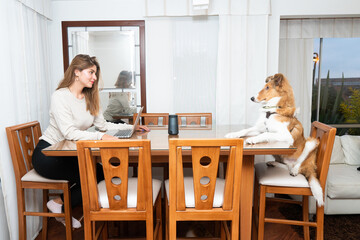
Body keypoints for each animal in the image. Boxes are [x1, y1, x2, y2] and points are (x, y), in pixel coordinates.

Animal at [225, 73, 324, 206]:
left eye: (267, 87)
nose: (251, 98)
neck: (270, 112)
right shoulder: (259, 128)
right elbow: (245, 130)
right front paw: (232, 134)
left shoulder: (285, 135)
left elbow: (266, 134)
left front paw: (252, 140)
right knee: (286, 165)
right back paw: (273, 163)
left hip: (311, 142)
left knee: (299, 163)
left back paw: (295, 170)